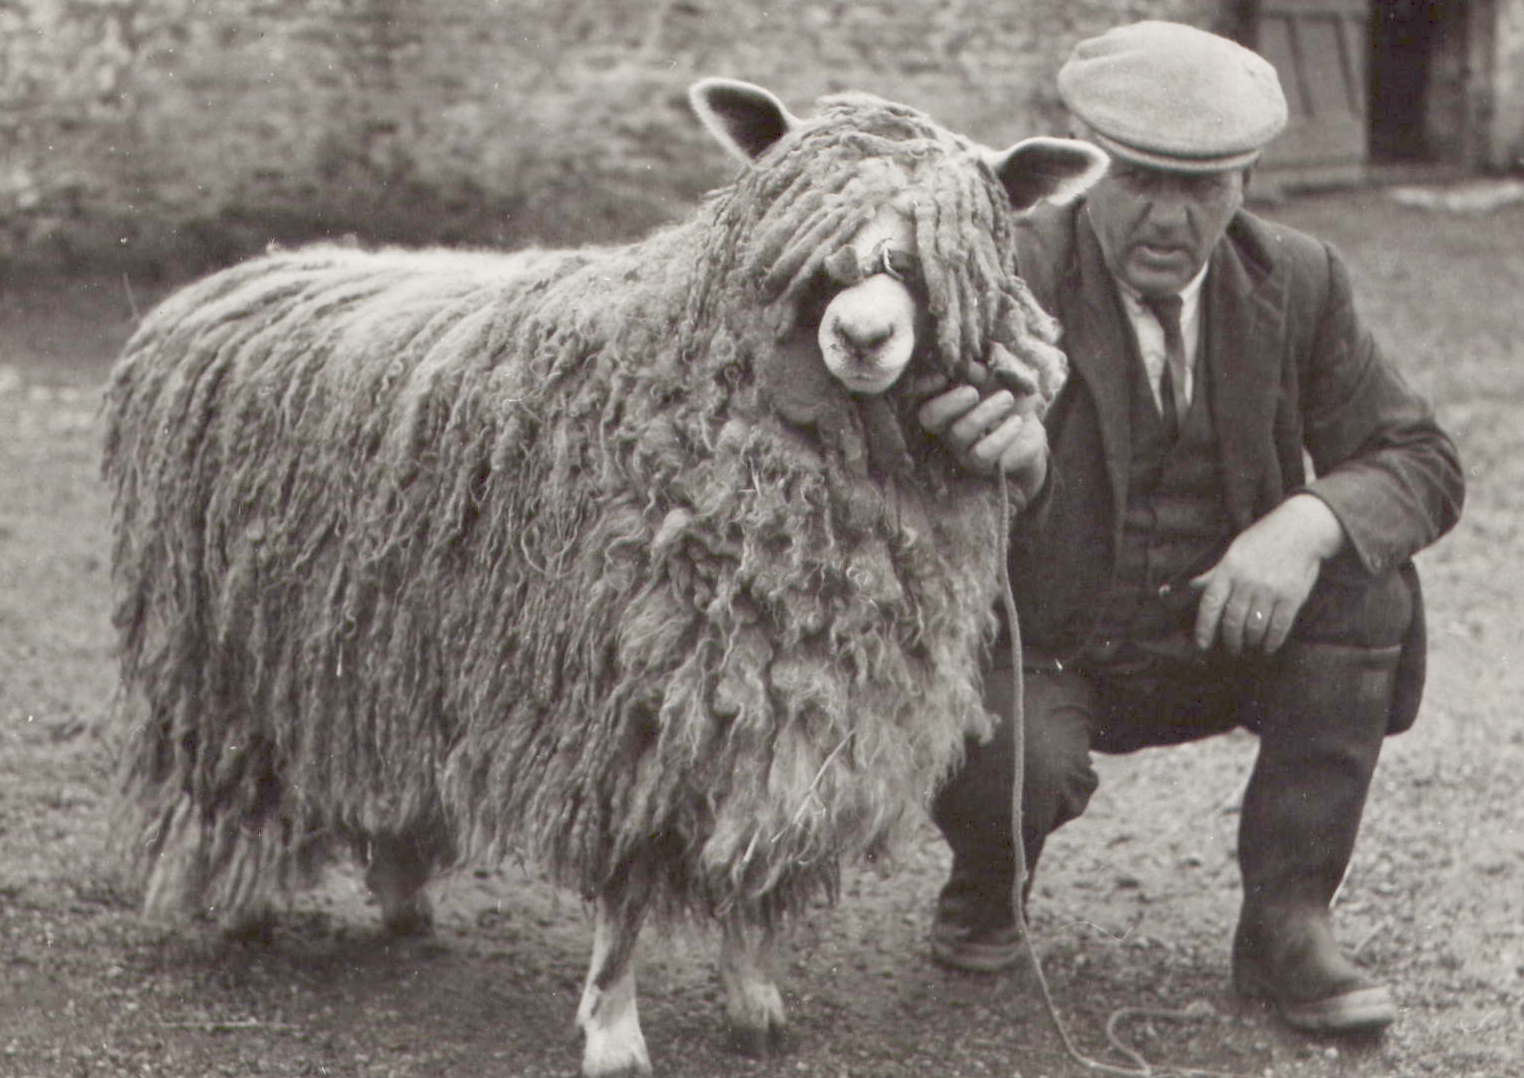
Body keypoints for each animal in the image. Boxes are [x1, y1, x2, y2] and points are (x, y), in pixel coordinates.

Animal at [104, 80, 1109, 1073]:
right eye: (797, 239)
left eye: (947, 251)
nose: (861, 334)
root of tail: (231, 277)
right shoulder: (633, 700)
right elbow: (626, 893)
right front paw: (616, 1031)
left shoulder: (795, 690)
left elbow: (759, 847)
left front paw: (754, 997)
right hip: (225, 651)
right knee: (230, 773)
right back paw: (236, 907)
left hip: (379, 643)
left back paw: (400, 896)